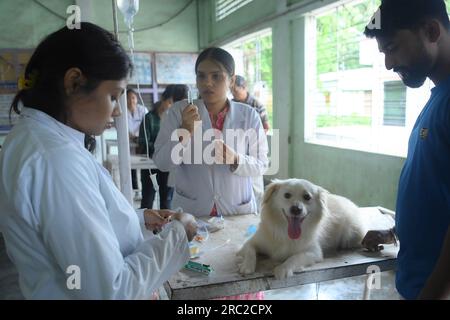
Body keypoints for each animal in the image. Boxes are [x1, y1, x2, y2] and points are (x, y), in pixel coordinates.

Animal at [237, 179, 368, 278]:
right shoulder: (249, 243)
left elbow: (295, 257)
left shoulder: (314, 252)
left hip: (350, 235)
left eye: (307, 197)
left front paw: (283, 268)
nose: (296, 209)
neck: (285, 232)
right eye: (287, 195)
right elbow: (250, 251)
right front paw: (246, 266)